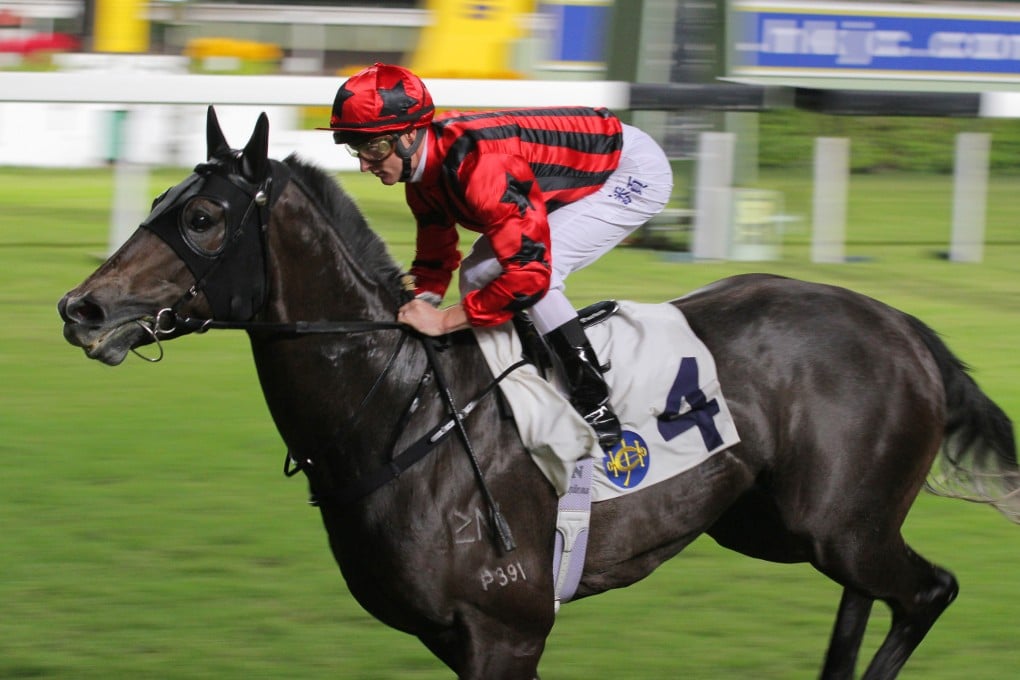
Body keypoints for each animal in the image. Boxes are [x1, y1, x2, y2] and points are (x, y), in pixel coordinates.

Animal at [58, 107, 1019, 679]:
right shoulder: (451, 638)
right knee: (868, 599)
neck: (403, 414)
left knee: (927, 591)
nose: (81, 309)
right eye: (158, 199)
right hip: (785, 525)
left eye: (202, 219)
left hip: (835, 525)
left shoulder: (508, 630)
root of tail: (903, 326)